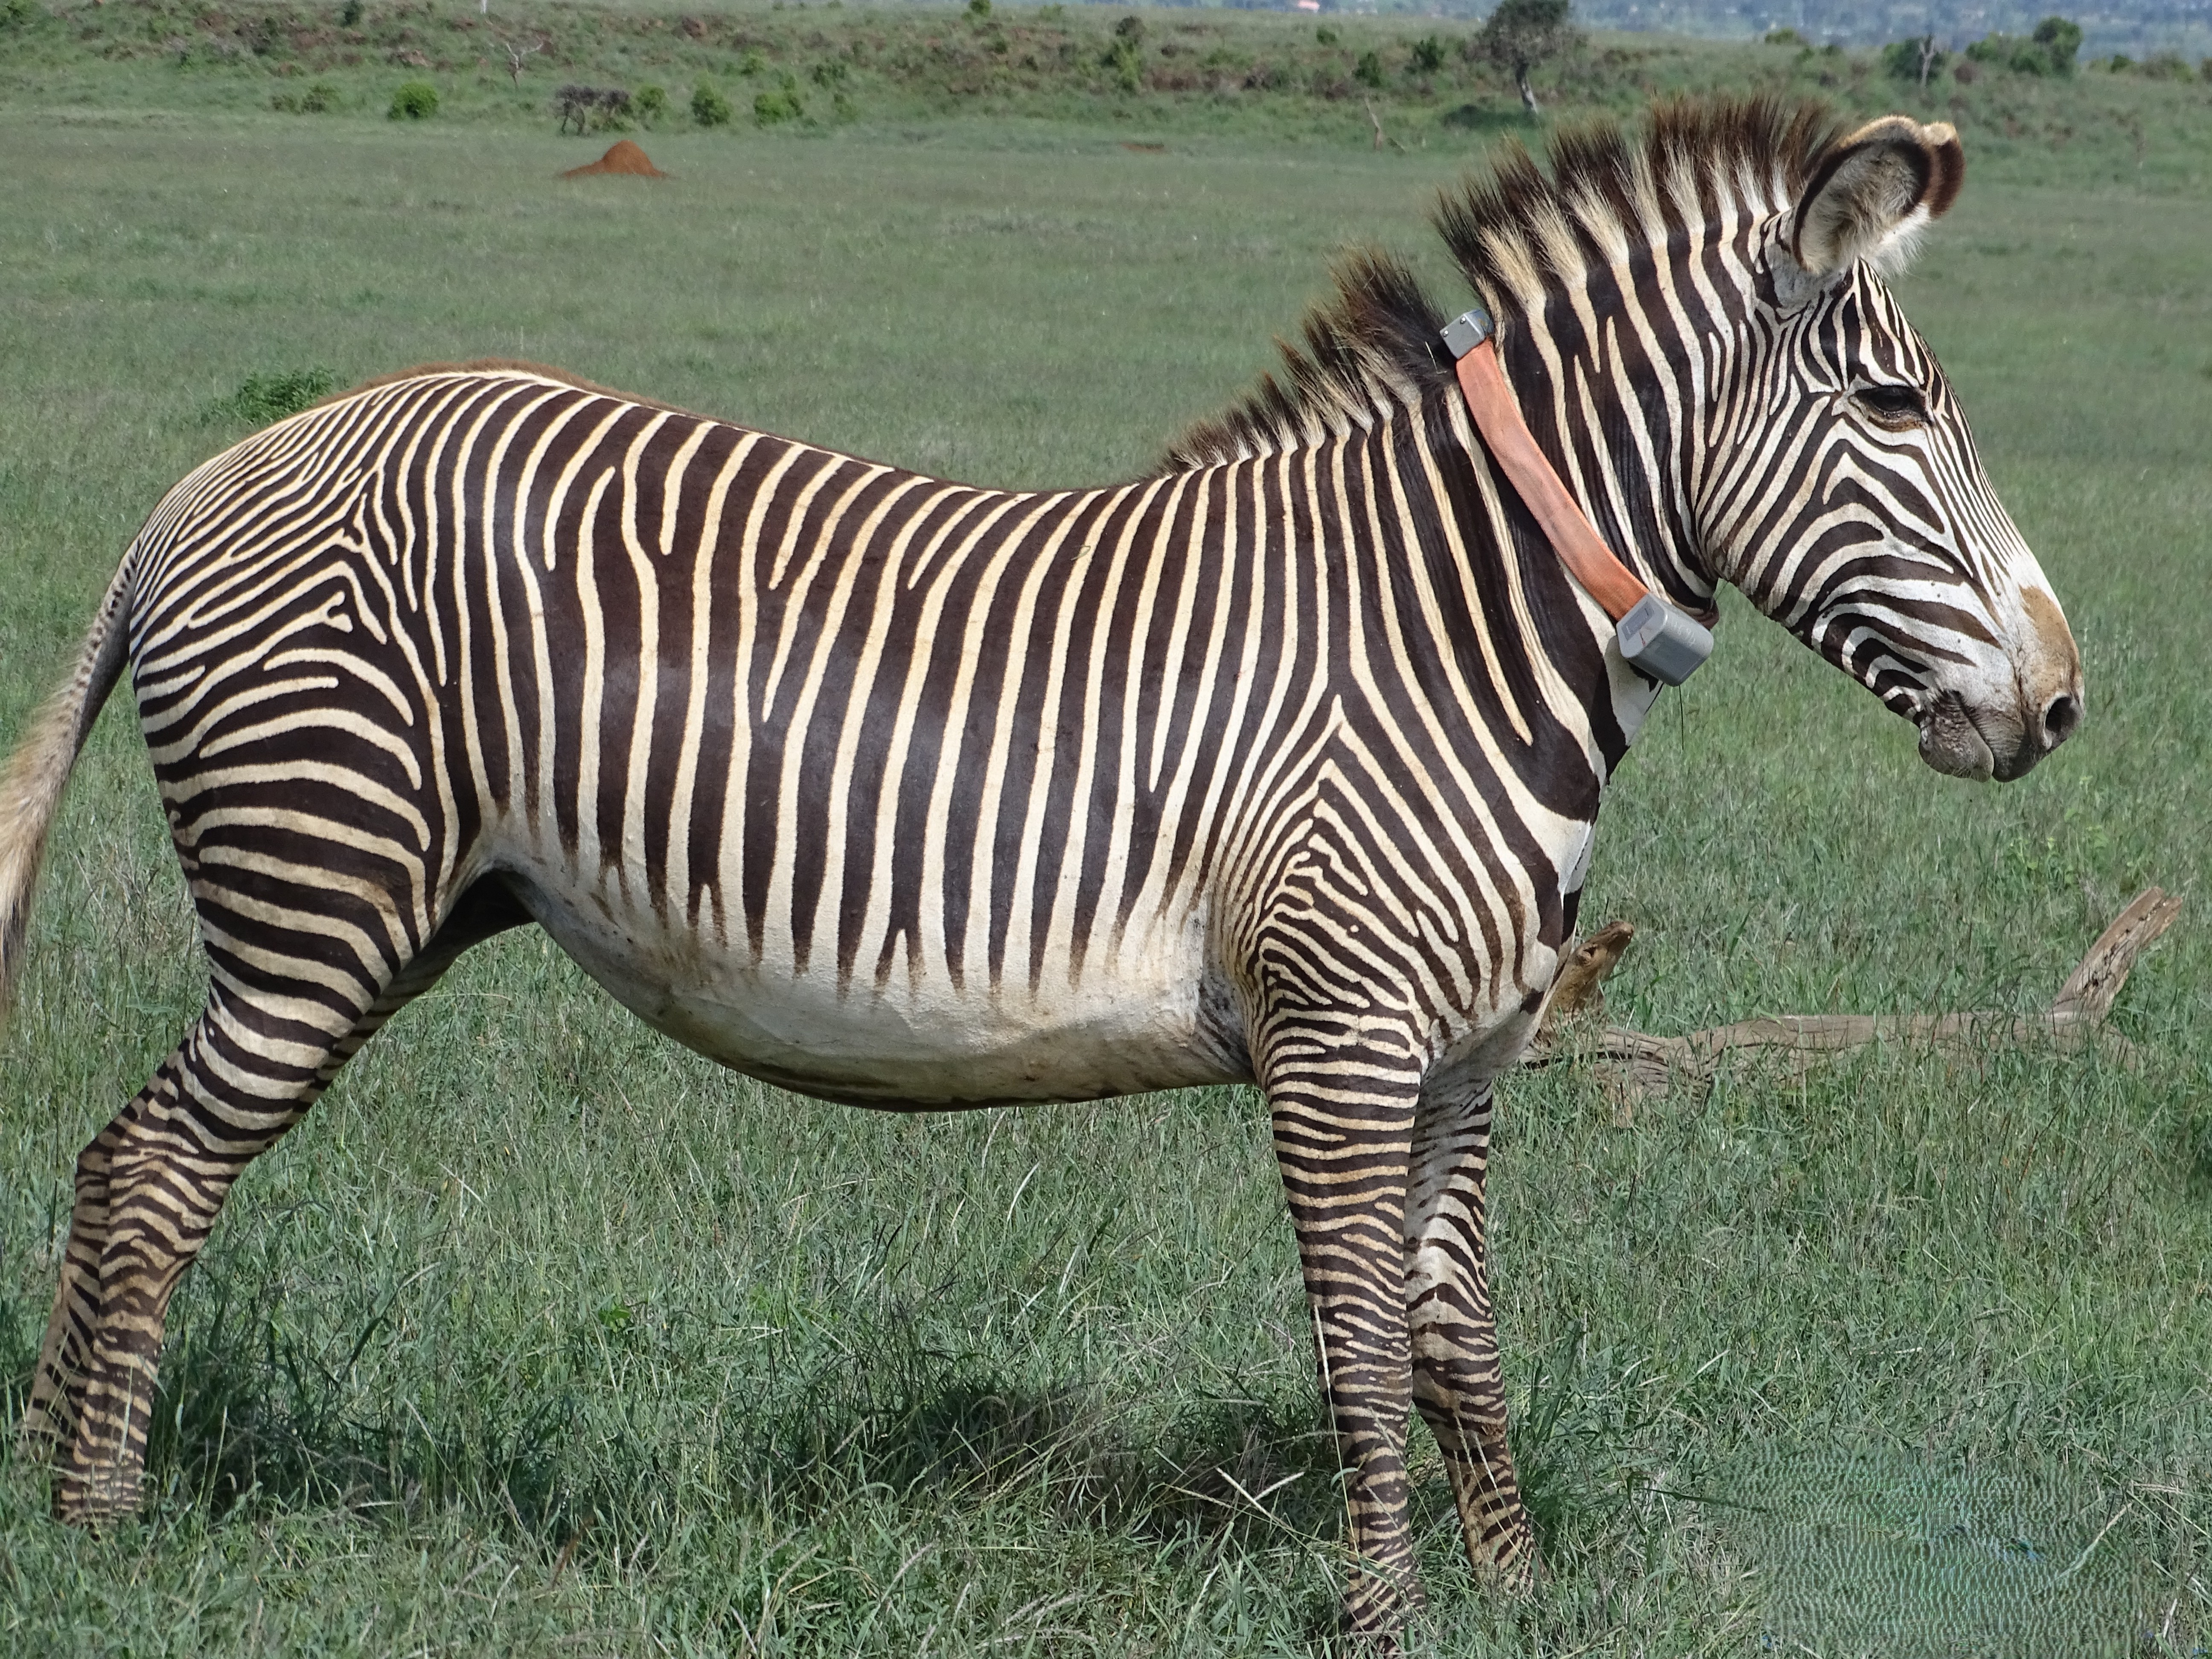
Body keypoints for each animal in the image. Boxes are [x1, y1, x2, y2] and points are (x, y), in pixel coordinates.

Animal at [0, 97, 2079, 1636]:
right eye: (1894, 412)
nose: (2060, 705)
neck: (1457, 625)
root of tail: (203, 486)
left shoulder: (1468, 1062)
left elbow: (1455, 1338)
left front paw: (1511, 1600)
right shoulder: (1337, 1042)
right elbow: (1353, 1344)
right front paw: (1391, 1618)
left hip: (410, 906)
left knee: (117, 1165)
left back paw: (40, 1490)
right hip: (319, 907)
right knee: (152, 1173)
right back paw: (102, 1520)